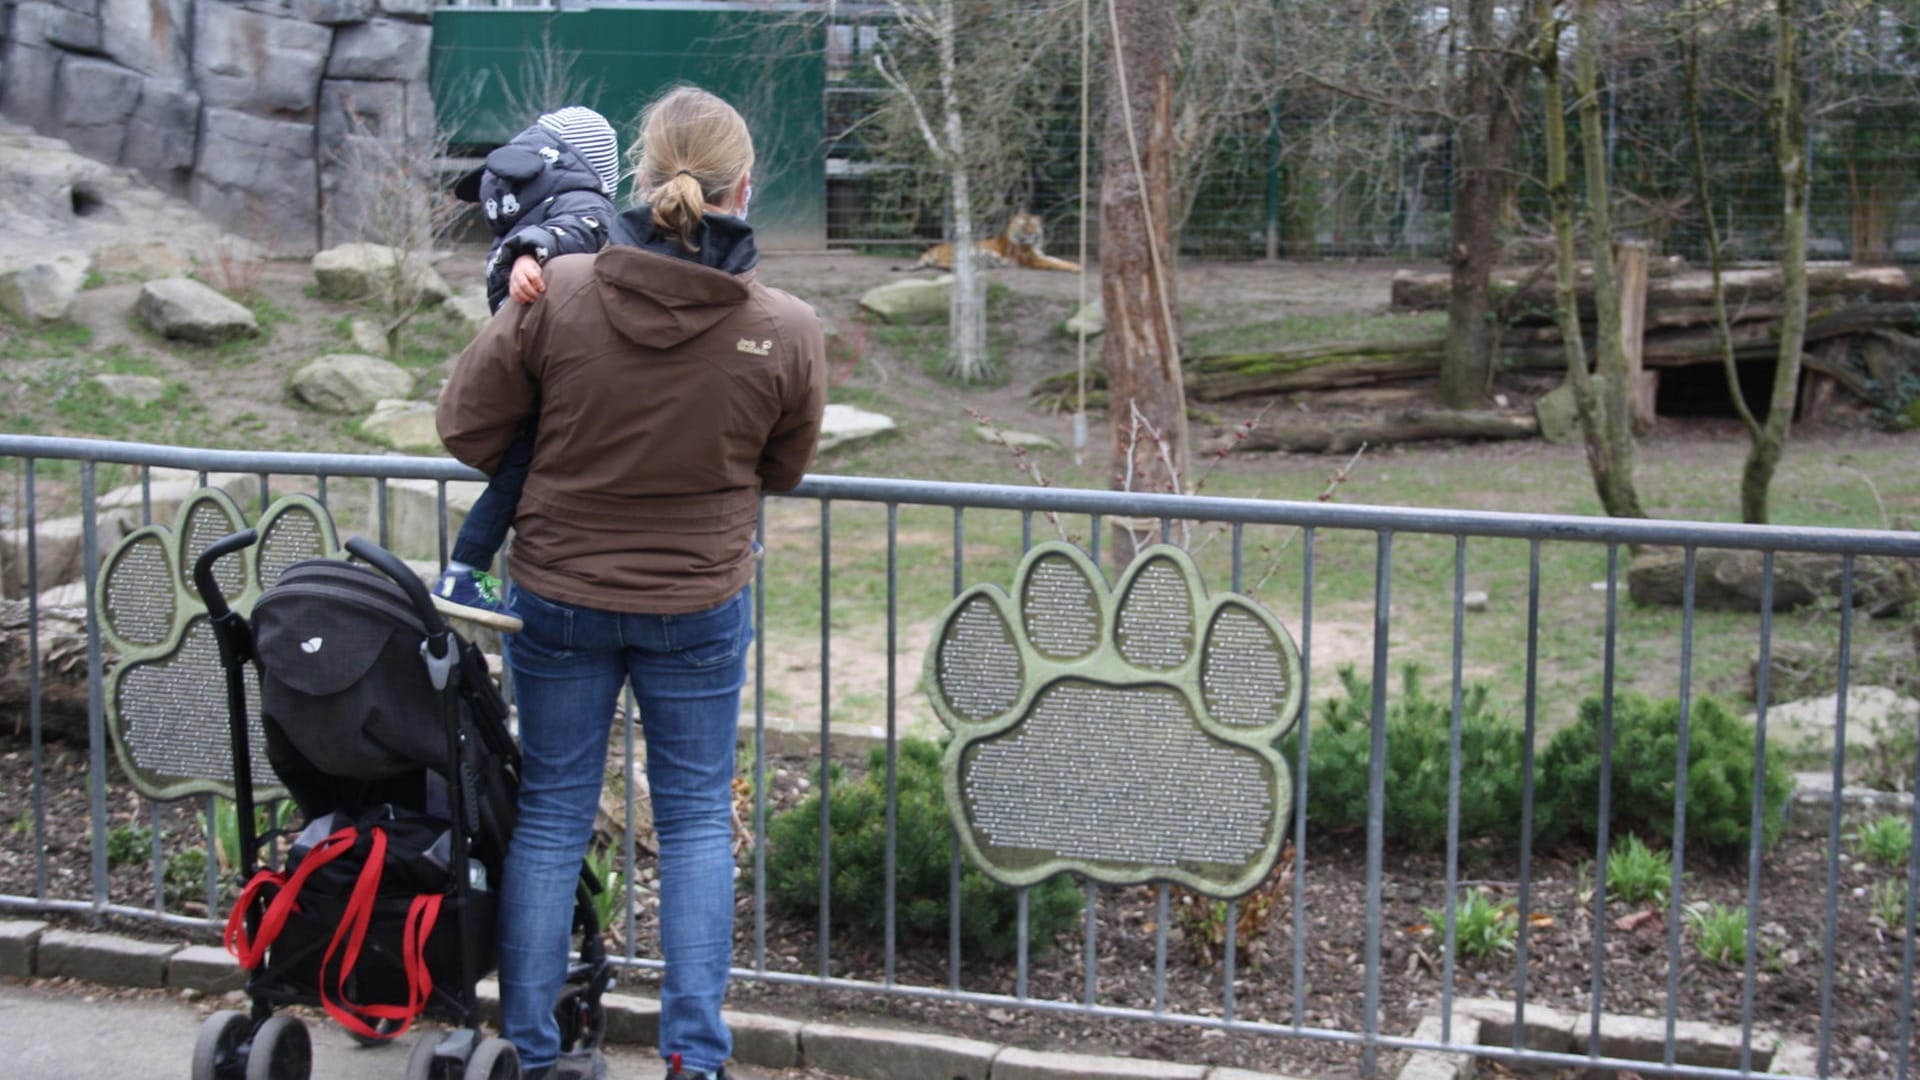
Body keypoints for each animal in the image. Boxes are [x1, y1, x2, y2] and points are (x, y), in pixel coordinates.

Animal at [913, 210, 1082, 269]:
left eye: (1032, 226)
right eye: (1023, 226)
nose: (1030, 234)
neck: (1034, 244)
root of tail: (934, 248)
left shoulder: (1041, 255)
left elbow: (1060, 260)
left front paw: (1078, 265)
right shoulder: (1033, 260)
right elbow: (1057, 264)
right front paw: (1078, 269)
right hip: (962, 251)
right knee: (941, 264)